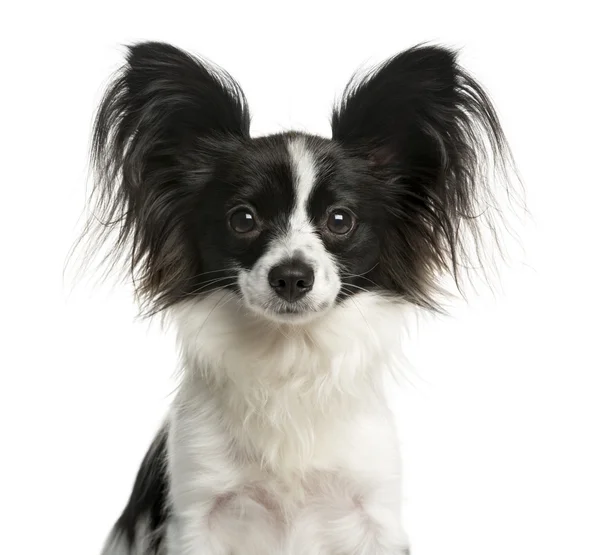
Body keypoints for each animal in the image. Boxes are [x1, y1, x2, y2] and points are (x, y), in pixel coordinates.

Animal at [85, 41, 516, 552]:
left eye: (339, 219)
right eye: (243, 219)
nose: (291, 277)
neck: (289, 357)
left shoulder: (373, 513)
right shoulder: (196, 512)